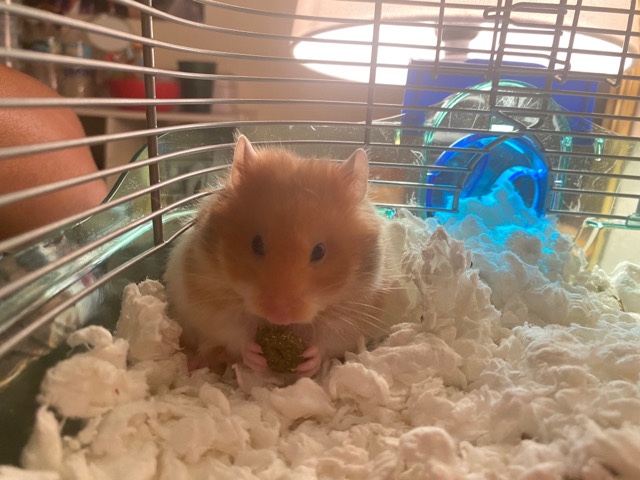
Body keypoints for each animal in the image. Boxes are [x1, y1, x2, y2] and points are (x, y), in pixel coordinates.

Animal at [163, 135, 391, 377]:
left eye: (320, 251)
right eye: (256, 244)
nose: (278, 316)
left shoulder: (358, 310)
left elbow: (330, 338)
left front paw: (309, 360)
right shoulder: (207, 293)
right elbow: (234, 330)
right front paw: (255, 355)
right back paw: (192, 364)